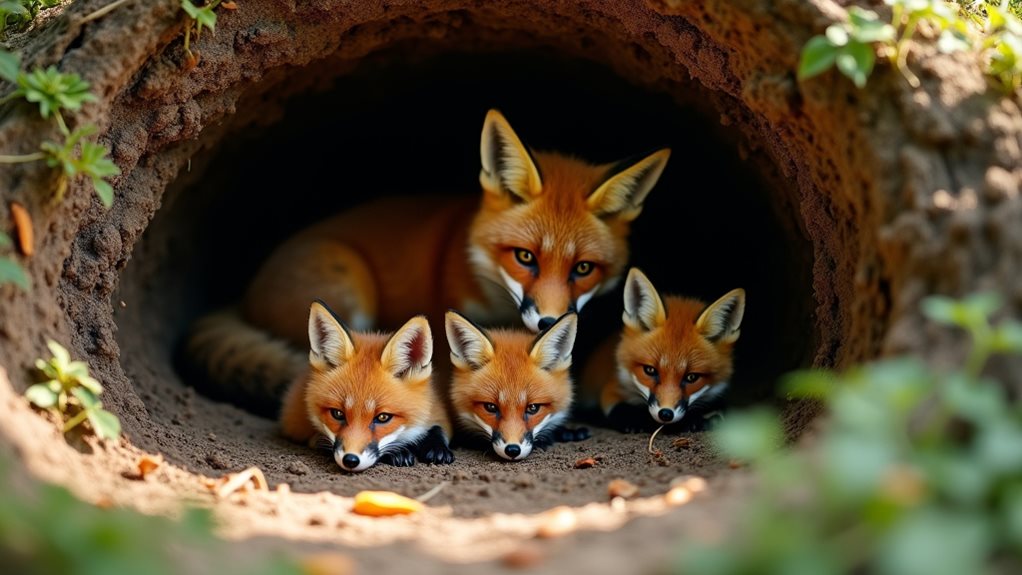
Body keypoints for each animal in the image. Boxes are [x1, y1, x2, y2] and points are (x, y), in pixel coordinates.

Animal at [278, 300, 454, 472]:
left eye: (383, 417)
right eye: (337, 414)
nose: (350, 460)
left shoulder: (436, 411)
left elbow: (438, 429)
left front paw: (437, 449)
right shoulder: (312, 436)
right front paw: (399, 452)